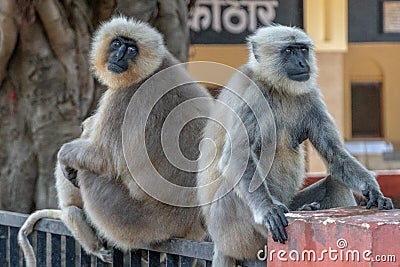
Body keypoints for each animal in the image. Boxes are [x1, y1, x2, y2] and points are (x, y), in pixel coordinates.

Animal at [57, 16, 211, 253]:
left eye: (131, 50)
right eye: (116, 44)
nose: (119, 56)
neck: (153, 69)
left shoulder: (125, 96)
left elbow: (104, 159)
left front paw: (65, 157)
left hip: (135, 222)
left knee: (89, 173)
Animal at [198, 24, 394, 266]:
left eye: (302, 50)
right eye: (289, 51)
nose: (302, 63)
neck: (276, 88)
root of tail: (218, 242)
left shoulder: (310, 94)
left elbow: (336, 155)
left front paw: (373, 191)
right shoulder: (252, 94)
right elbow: (237, 157)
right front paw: (269, 210)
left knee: (335, 183)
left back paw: (305, 208)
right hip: (230, 233)